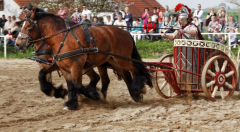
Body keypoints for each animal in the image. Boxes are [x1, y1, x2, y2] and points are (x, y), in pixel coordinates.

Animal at [15, 5, 153, 110]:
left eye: (27, 26)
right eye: (21, 22)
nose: (18, 43)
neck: (62, 38)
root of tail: (125, 32)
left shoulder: (75, 66)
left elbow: (78, 86)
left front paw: (95, 94)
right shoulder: (61, 67)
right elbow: (66, 84)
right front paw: (69, 101)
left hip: (122, 59)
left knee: (134, 69)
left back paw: (138, 88)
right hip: (111, 60)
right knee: (123, 75)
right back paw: (135, 95)